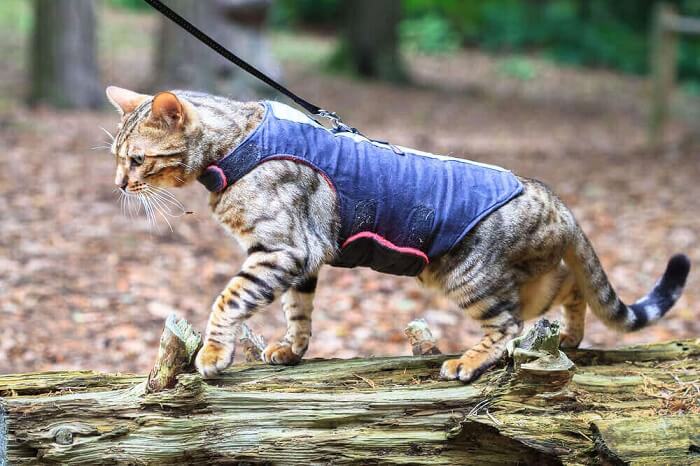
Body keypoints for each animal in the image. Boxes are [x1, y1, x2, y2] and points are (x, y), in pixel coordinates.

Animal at [106, 86, 692, 382]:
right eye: (116, 156)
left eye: (137, 159)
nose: (118, 184)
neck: (237, 147)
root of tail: (555, 198)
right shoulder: (303, 260)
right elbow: (299, 312)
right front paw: (291, 350)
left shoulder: (282, 248)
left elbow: (228, 298)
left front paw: (212, 355)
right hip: (529, 277)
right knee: (571, 286)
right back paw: (569, 336)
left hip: (466, 276)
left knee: (507, 325)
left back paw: (467, 362)